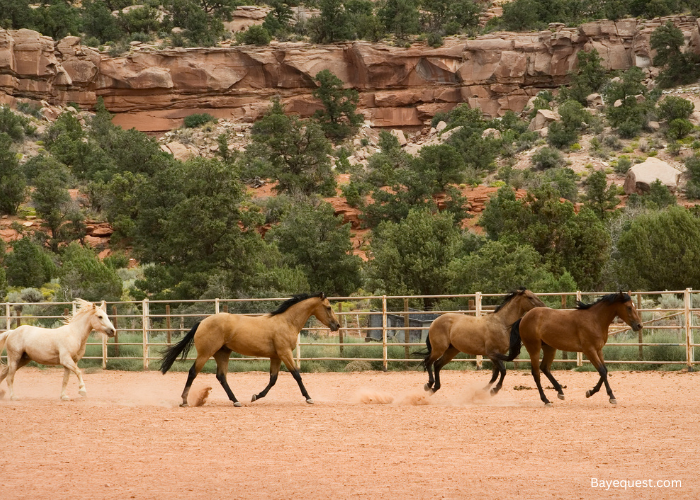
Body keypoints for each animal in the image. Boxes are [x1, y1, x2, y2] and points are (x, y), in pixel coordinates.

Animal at [161, 292, 342, 406]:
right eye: (328, 307)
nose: (337, 325)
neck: (287, 322)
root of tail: (202, 322)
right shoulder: (285, 353)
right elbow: (296, 375)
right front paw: (309, 398)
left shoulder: (276, 356)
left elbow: (273, 379)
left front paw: (256, 396)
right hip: (205, 353)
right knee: (193, 372)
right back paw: (185, 401)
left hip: (222, 353)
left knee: (221, 377)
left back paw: (236, 401)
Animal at [512, 292, 644, 406]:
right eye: (628, 307)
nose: (639, 325)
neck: (595, 320)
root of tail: (524, 318)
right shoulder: (589, 350)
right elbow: (601, 370)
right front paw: (611, 397)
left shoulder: (598, 350)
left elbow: (605, 371)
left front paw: (590, 392)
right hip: (534, 348)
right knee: (536, 373)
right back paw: (546, 400)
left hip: (549, 348)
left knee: (544, 368)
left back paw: (560, 392)